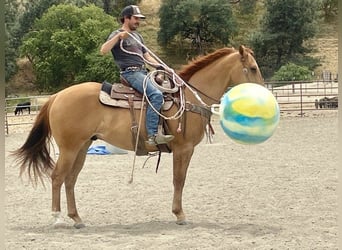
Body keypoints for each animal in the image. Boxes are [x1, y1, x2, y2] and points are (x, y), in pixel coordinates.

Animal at [12, 45, 264, 229]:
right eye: (252, 68)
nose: (263, 93)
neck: (189, 98)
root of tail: (56, 97)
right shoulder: (184, 148)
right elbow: (179, 180)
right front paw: (179, 214)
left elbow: (180, 180)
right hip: (69, 148)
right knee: (57, 177)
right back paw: (57, 218)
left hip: (81, 148)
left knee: (70, 180)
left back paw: (77, 219)